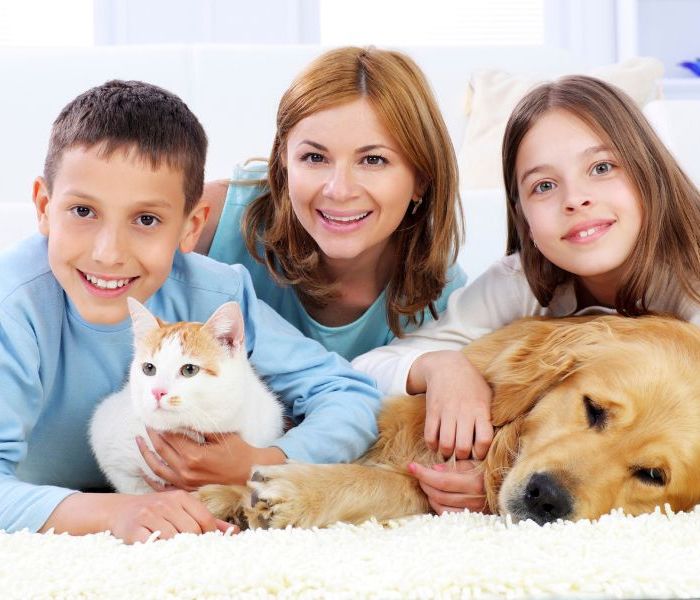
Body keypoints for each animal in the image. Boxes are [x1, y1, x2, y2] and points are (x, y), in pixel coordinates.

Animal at [198, 316, 700, 528]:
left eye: (653, 475)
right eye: (593, 408)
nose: (545, 498)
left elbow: (384, 481)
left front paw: (292, 494)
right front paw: (224, 495)